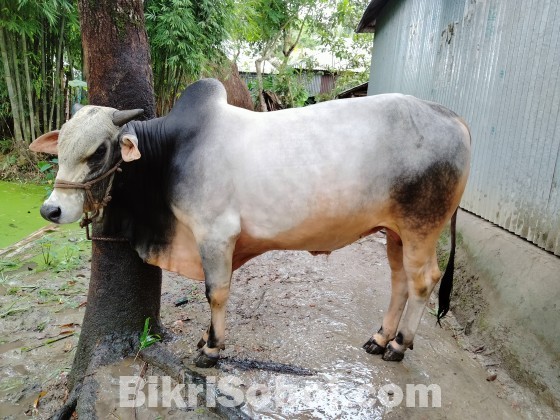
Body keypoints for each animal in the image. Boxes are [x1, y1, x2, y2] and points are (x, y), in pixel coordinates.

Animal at [29, 79, 468, 368]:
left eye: (99, 151)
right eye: (60, 147)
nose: (51, 210)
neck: (170, 151)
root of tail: (454, 118)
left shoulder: (216, 233)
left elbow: (216, 292)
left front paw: (211, 348)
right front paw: (206, 338)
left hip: (421, 227)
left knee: (423, 281)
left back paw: (399, 345)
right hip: (395, 231)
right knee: (399, 281)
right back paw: (380, 338)